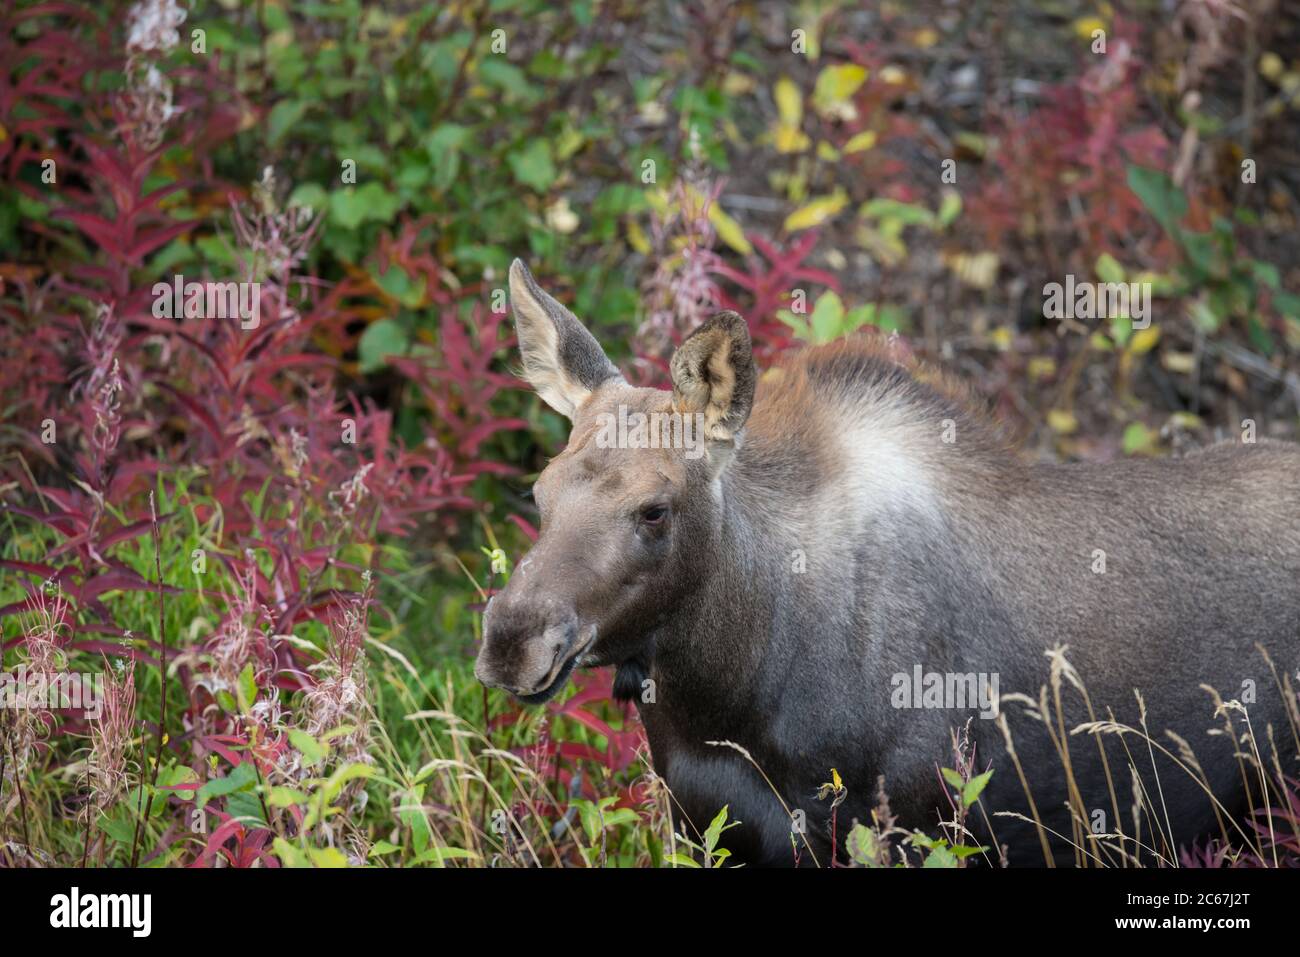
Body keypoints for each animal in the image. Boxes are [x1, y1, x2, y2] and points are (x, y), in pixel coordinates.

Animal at [475, 259, 1300, 866]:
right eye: (541, 490)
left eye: (654, 508)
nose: (512, 639)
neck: (727, 694)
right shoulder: (711, 823)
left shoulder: (915, 821)